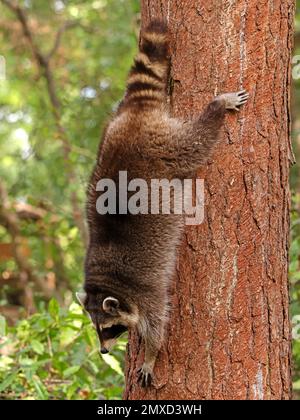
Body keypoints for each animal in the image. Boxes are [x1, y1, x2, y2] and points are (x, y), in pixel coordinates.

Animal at [77, 19, 248, 388]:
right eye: (97, 330)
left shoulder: (147, 293)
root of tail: (134, 117)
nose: (104, 352)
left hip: (160, 145)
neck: (106, 282)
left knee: (194, 143)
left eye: (110, 328)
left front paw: (151, 357)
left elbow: (158, 326)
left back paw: (215, 109)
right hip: (112, 131)